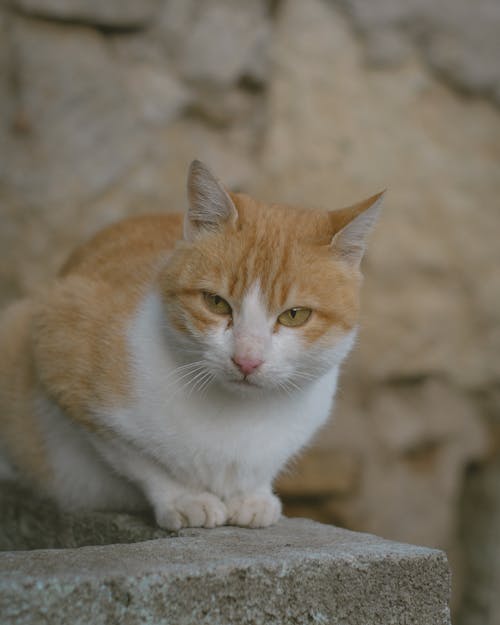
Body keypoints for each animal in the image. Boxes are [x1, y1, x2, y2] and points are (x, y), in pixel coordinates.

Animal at [0, 161, 382, 528]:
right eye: (216, 303)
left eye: (294, 315)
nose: (246, 360)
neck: (238, 418)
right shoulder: (61, 351)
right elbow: (142, 461)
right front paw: (185, 499)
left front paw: (252, 496)